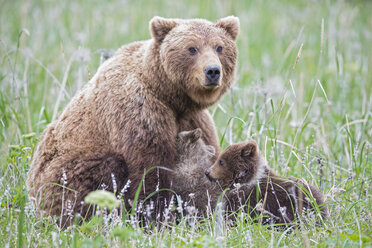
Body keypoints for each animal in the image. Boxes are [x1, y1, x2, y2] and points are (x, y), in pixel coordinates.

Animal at [26, 15, 241, 225]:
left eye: (219, 47)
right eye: (192, 48)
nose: (212, 71)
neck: (169, 96)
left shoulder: (194, 119)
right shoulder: (140, 112)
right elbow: (149, 170)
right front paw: (157, 216)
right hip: (60, 175)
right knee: (101, 169)